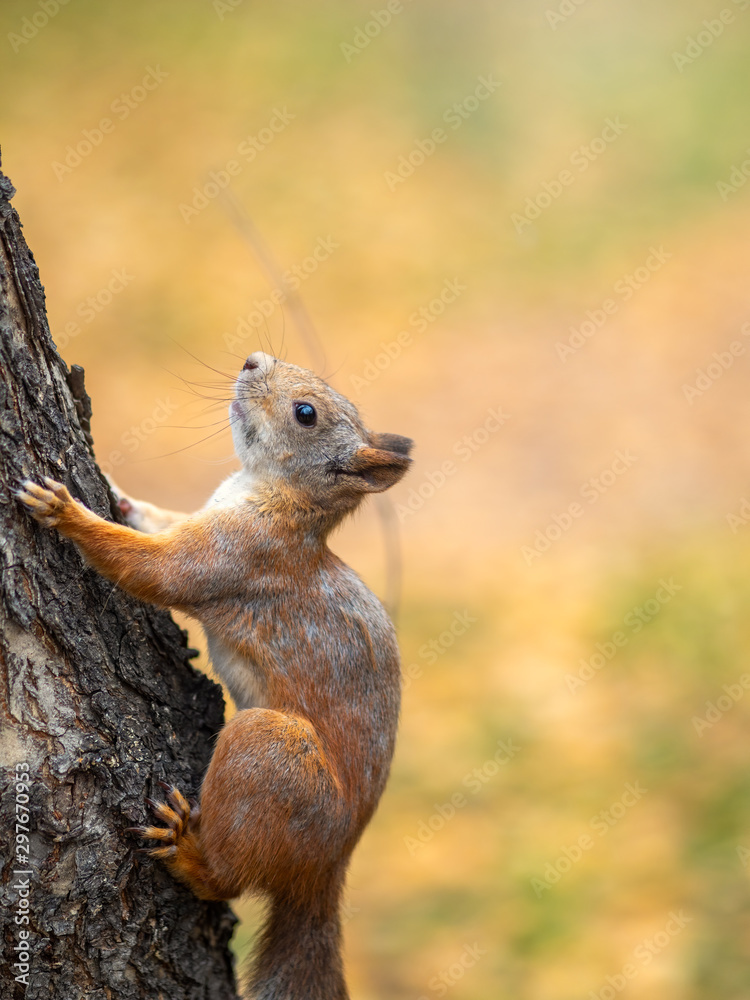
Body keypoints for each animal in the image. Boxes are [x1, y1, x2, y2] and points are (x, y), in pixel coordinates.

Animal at [17, 352, 414, 1000]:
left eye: (306, 413)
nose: (254, 359)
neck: (270, 492)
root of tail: (327, 866)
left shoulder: (237, 555)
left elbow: (157, 569)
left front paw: (66, 511)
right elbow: (156, 521)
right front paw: (118, 496)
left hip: (269, 752)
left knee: (229, 879)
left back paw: (188, 854)